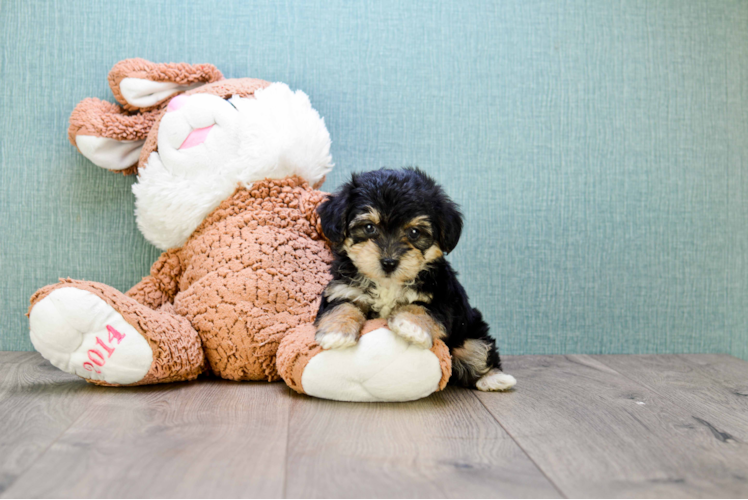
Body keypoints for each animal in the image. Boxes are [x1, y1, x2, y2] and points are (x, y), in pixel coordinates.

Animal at [314, 168, 516, 390]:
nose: (389, 262)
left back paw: (496, 379)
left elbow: (422, 308)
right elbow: (342, 306)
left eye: (414, 232)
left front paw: (411, 326)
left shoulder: (443, 297)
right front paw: (337, 333)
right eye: (369, 228)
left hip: (471, 331)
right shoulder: (343, 289)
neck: (388, 284)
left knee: (477, 351)